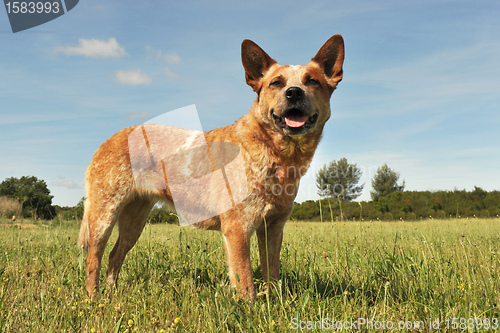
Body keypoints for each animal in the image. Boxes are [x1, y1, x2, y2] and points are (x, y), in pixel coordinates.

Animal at [79, 35, 344, 300]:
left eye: (312, 81)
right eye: (276, 83)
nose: (294, 93)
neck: (276, 153)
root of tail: (106, 141)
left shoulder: (273, 227)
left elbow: (272, 274)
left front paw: (273, 303)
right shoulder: (238, 228)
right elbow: (245, 281)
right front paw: (249, 307)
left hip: (135, 219)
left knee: (114, 256)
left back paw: (112, 295)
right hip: (104, 215)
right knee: (94, 259)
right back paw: (95, 300)